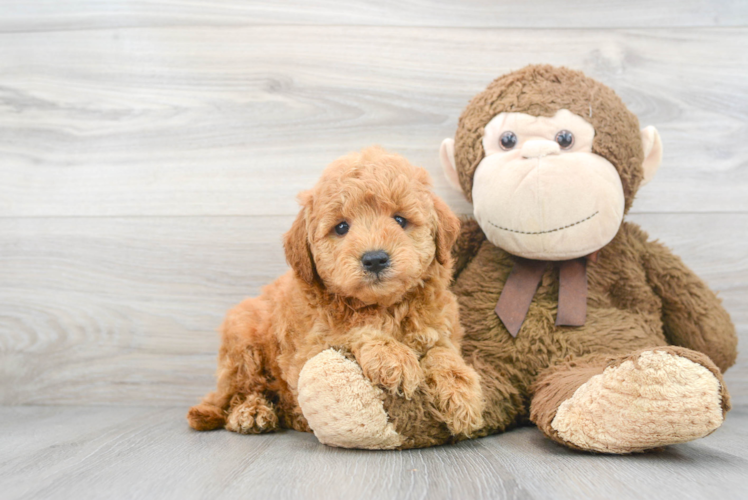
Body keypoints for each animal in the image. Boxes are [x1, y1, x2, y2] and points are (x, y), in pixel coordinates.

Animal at [187, 147, 486, 438]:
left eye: (400, 220)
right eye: (341, 227)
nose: (375, 259)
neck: (382, 306)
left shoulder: (440, 329)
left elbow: (443, 353)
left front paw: (463, 396)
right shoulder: (310, 347)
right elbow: (354, 331)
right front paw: (394, 357)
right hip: (244, 341)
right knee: (242, 391)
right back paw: (252, 412)